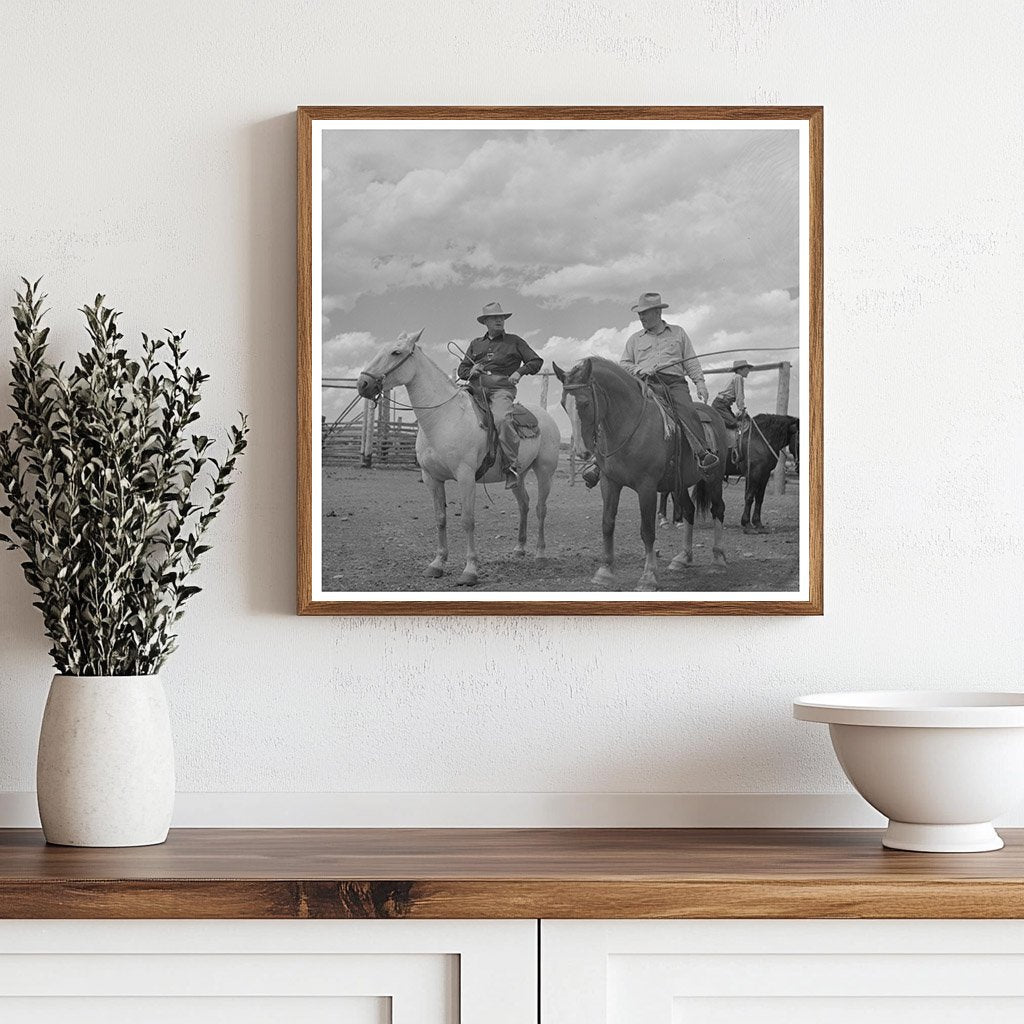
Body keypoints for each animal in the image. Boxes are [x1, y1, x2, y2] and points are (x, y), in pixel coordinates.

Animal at [354, 327, 561, 585]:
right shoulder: (431, 478)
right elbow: (440, 518)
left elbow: (467, 520)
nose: (363, 383)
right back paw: (519, 548)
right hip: (518, 475)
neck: (443, 418)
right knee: (524, 504)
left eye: (396, 352)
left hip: (545, 472)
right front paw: (437, 564)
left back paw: (540, 555)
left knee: (541, 509)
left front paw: (470, 570)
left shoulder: (465, 476)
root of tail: (545, 416)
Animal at [557, 356, 733, 593]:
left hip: (714, 477)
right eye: (563, 404)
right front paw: (605, 572)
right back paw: (683, 558)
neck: (628, 427)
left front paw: (648, 577)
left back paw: (718, 560)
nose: (581, 451)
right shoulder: (609, 482)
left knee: (718, 510)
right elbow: (607, 524)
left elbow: (647, 530)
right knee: (689, 510)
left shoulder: (646, 487)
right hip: (678, 484)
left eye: (585, 403)